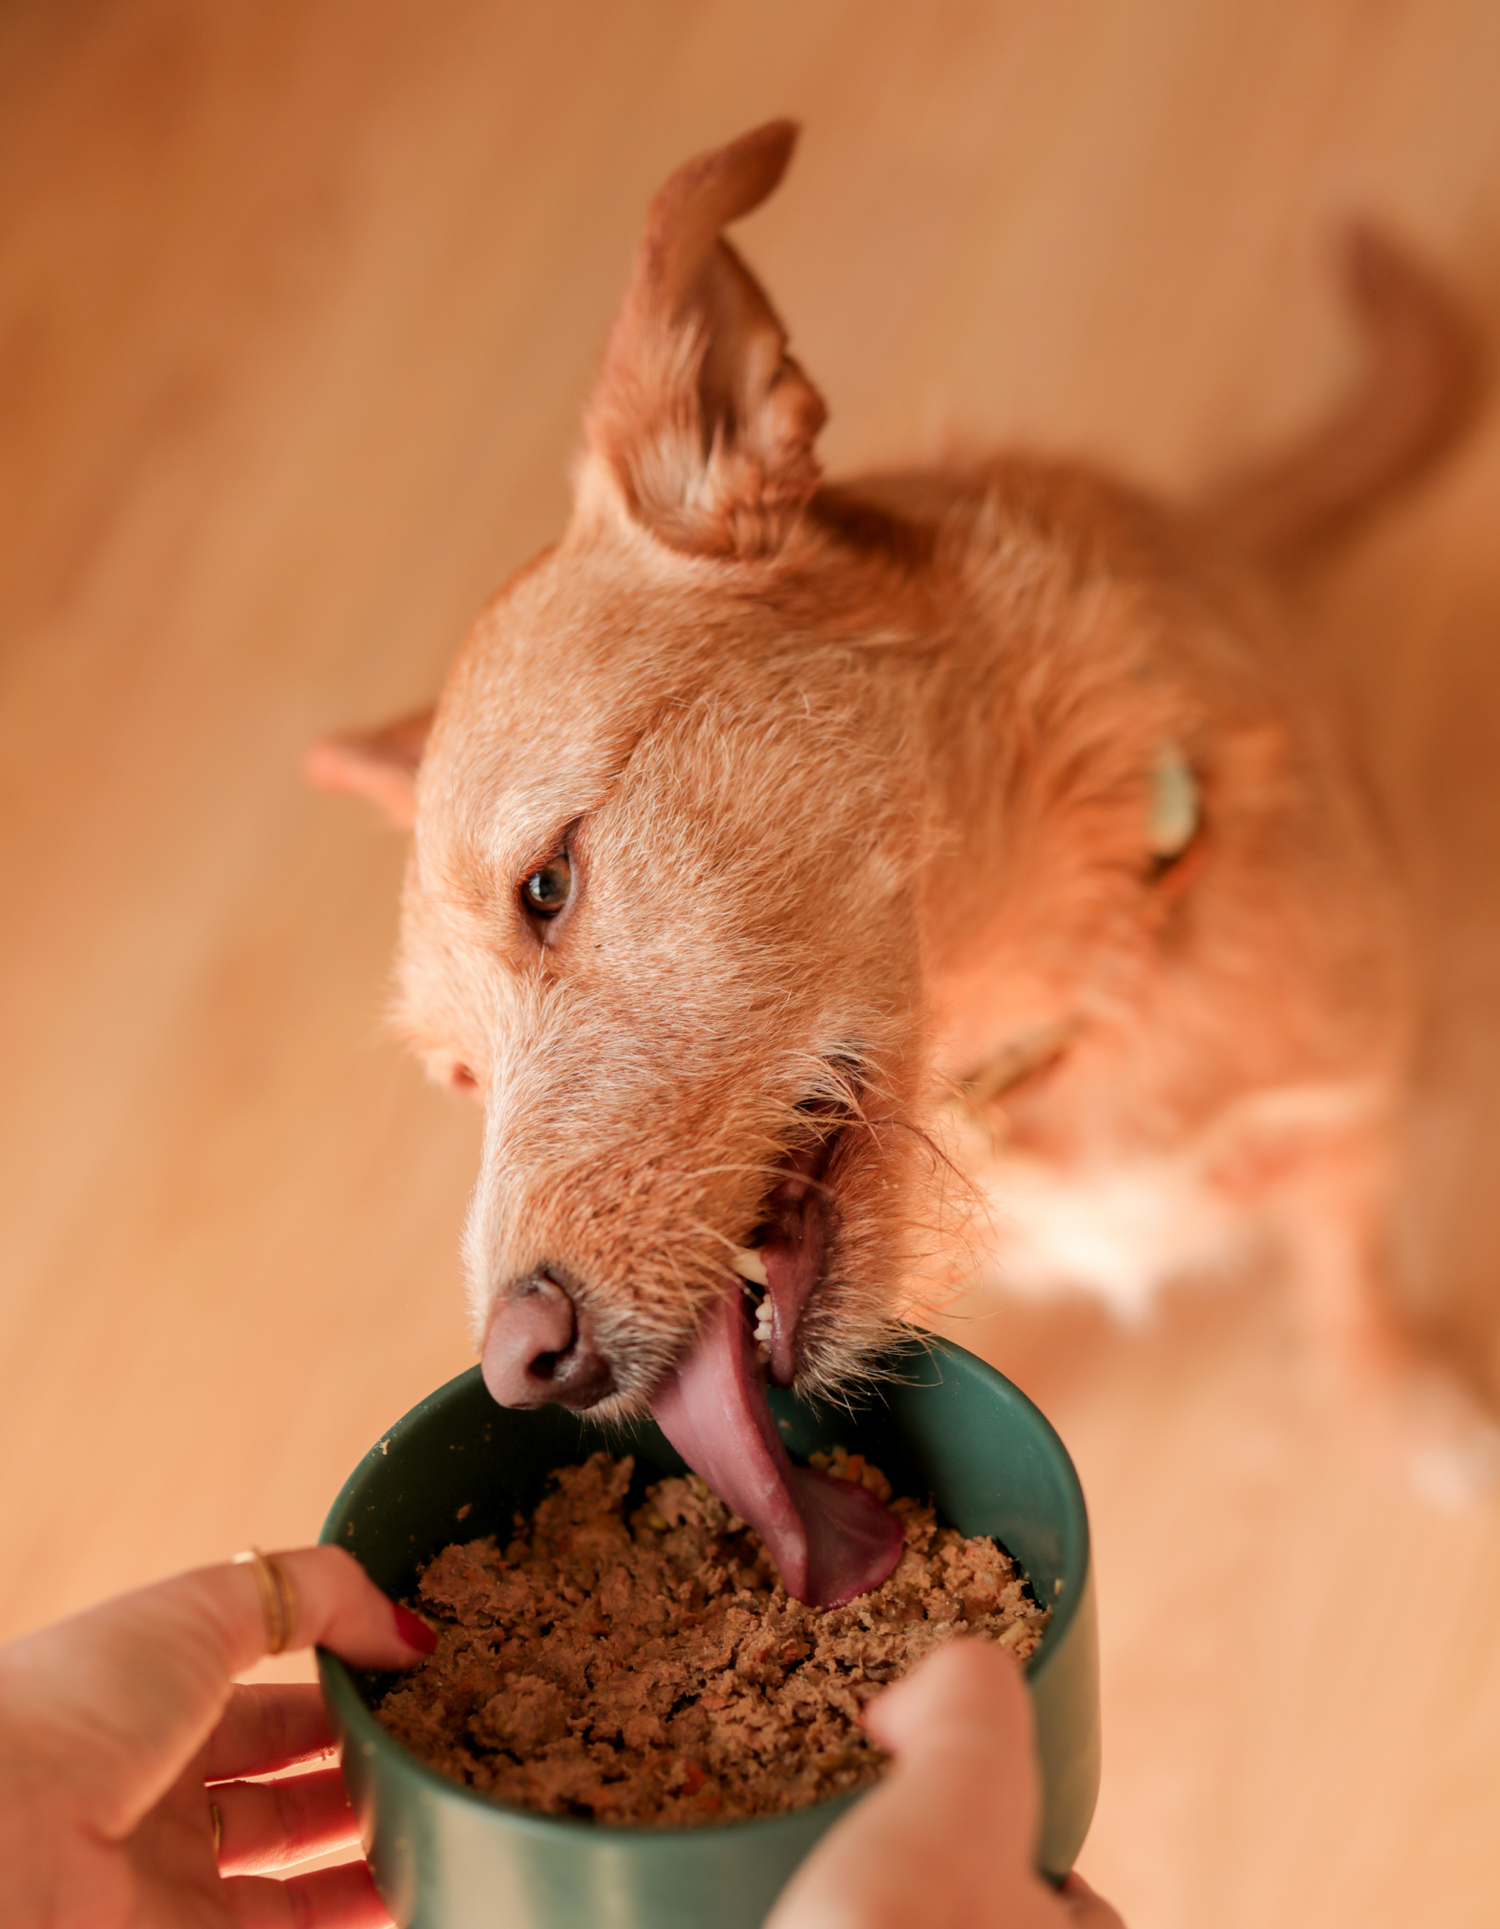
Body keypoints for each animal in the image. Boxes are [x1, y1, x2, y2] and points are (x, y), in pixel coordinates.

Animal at [310, 120, 1480, 1581]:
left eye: (548, 885)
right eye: (457, 1077)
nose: (520, 1364)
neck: (1051, 1026)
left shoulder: (1346, 1111)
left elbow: (1349, 1275)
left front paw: (1408, 1398)